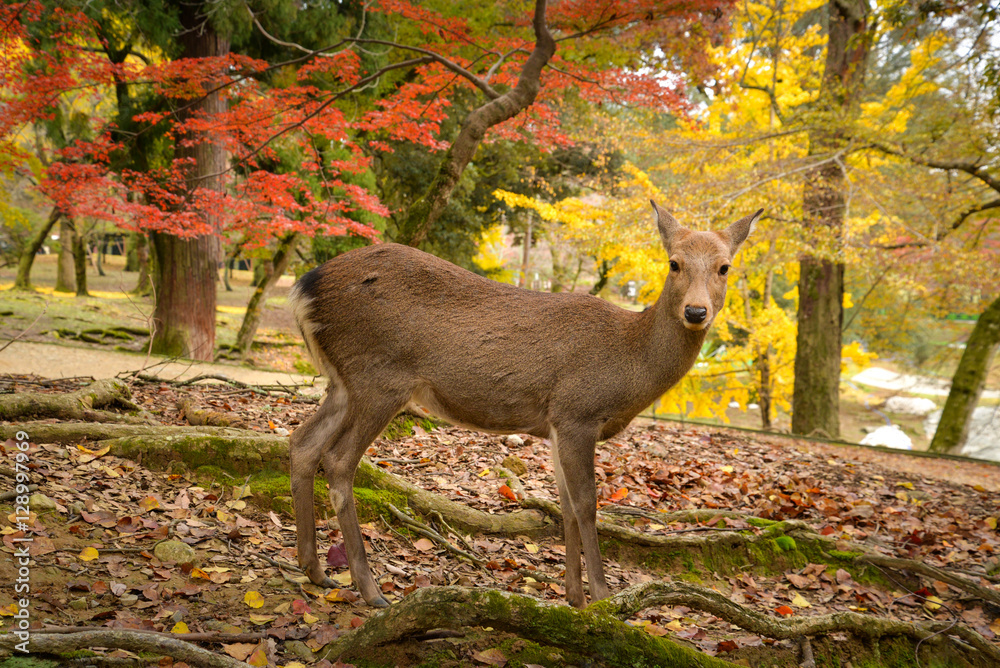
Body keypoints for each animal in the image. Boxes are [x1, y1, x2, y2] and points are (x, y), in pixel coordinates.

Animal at [288, 201, 762, 608]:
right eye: (673, 263)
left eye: (725, 267)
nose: (696, 312)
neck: (630, 365)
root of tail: (304, 287)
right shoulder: (577, 411)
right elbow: (587, 504)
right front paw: (603, 597)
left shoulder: (554, 424)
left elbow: (564, 505)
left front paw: (573, 598)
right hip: (380, 376)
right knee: (338, 459)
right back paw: (370, 590)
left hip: (344, 382)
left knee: (302, 442)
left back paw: (315, 570)